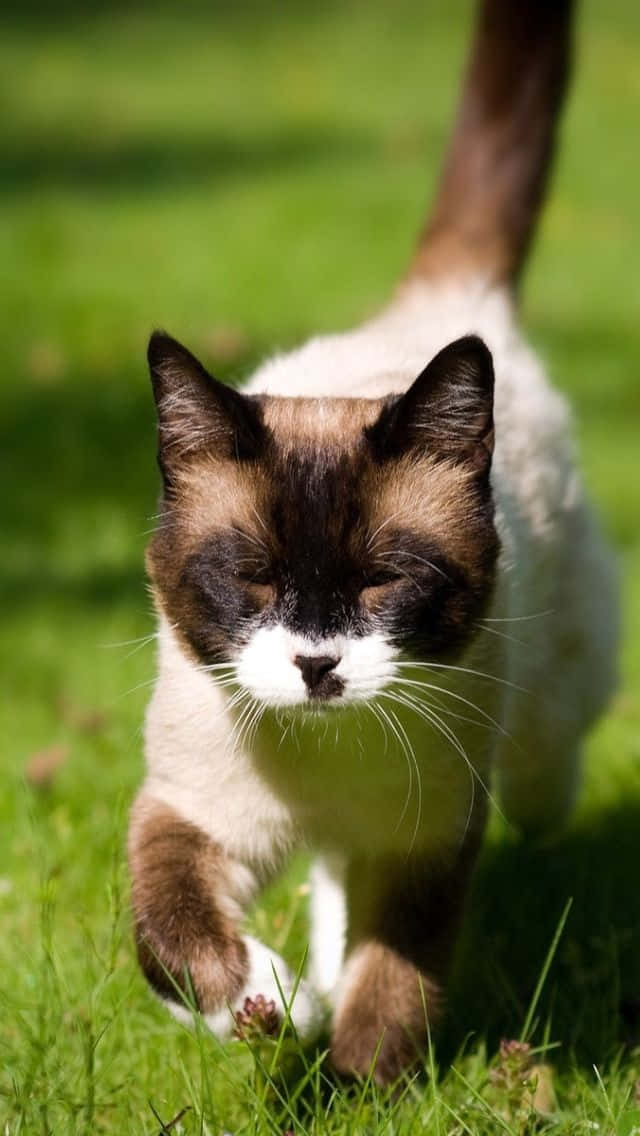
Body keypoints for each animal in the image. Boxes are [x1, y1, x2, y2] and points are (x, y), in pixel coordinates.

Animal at [129, 0, 613, 1081]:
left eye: (385, 582)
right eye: (254, 580)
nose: (316, 663)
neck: (322, 758)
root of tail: (443, 306)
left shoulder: (424, 843)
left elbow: (392, 980)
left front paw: (354, 1084)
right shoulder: (189, 811)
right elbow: (170, 935)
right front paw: (262, 1005)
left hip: (546, 722)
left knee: (545, 781)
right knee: (318, 892)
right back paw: (296, 987)